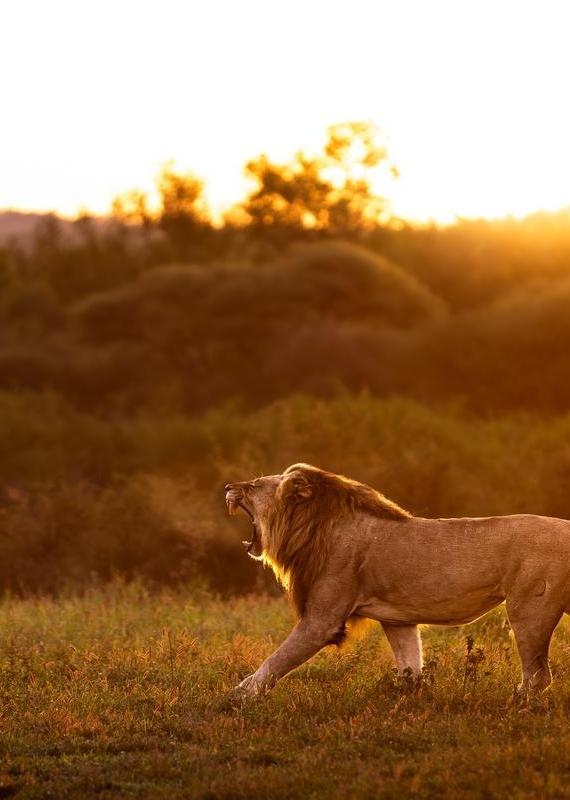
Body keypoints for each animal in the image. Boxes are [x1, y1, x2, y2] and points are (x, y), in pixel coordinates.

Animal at [225, 463, 570, 697]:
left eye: (254, 485)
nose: (228, 486)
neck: (312, 528)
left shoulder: (322, 620)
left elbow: (276, 660)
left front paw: (236, 697)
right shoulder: (398, 621)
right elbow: (410, 668)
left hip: (529, 609)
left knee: (538, 677)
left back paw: (515, 703)